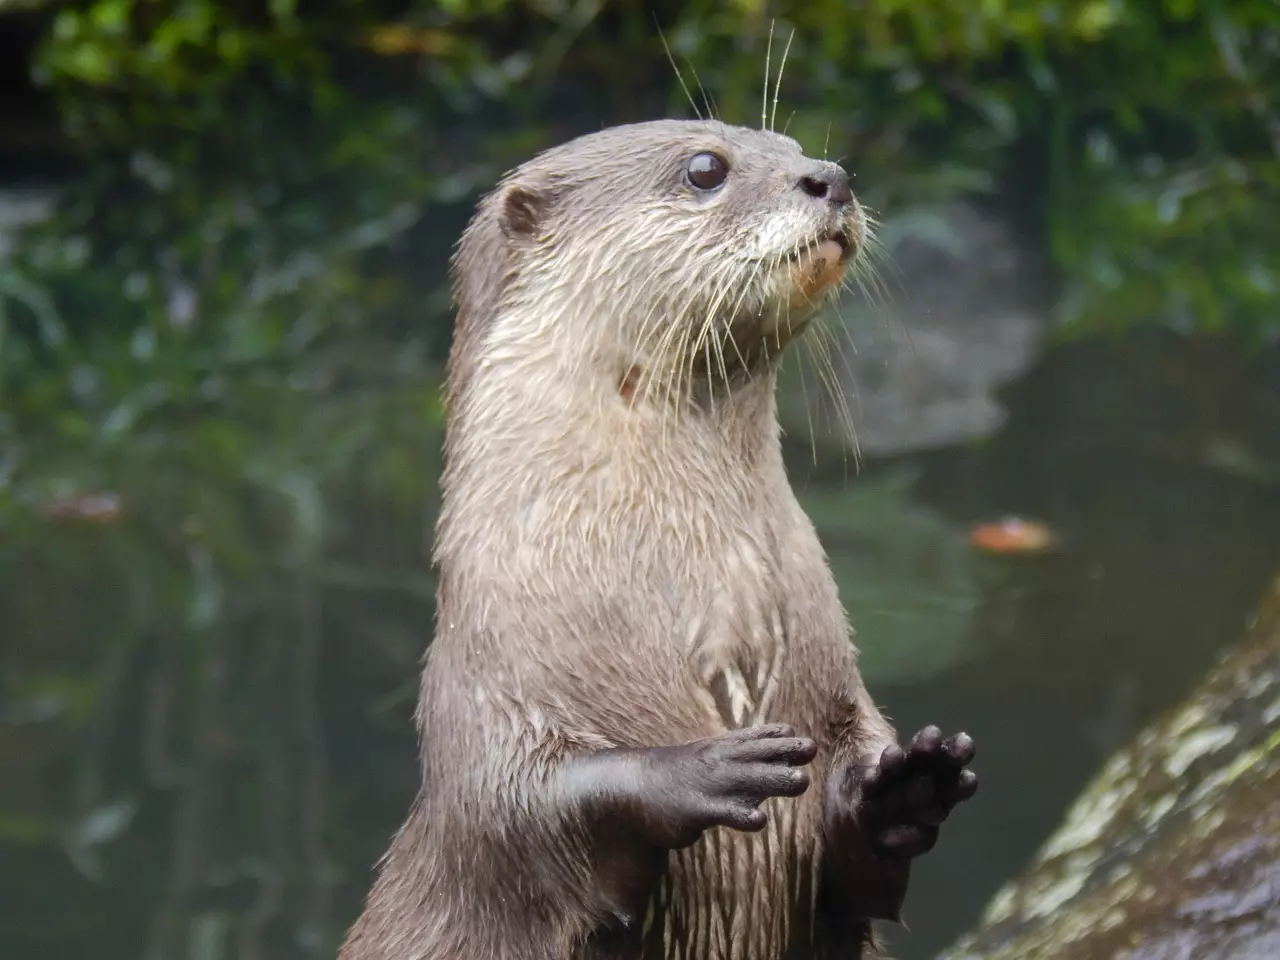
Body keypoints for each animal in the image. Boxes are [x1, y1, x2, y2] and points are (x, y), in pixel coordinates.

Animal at [335, 120, 972, 960]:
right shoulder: (485, 705)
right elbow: (525, 807)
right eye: (705, 168)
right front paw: (703, 768)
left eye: (790, 143)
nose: (830, 177)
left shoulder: (837, 693)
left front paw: (901, 786)